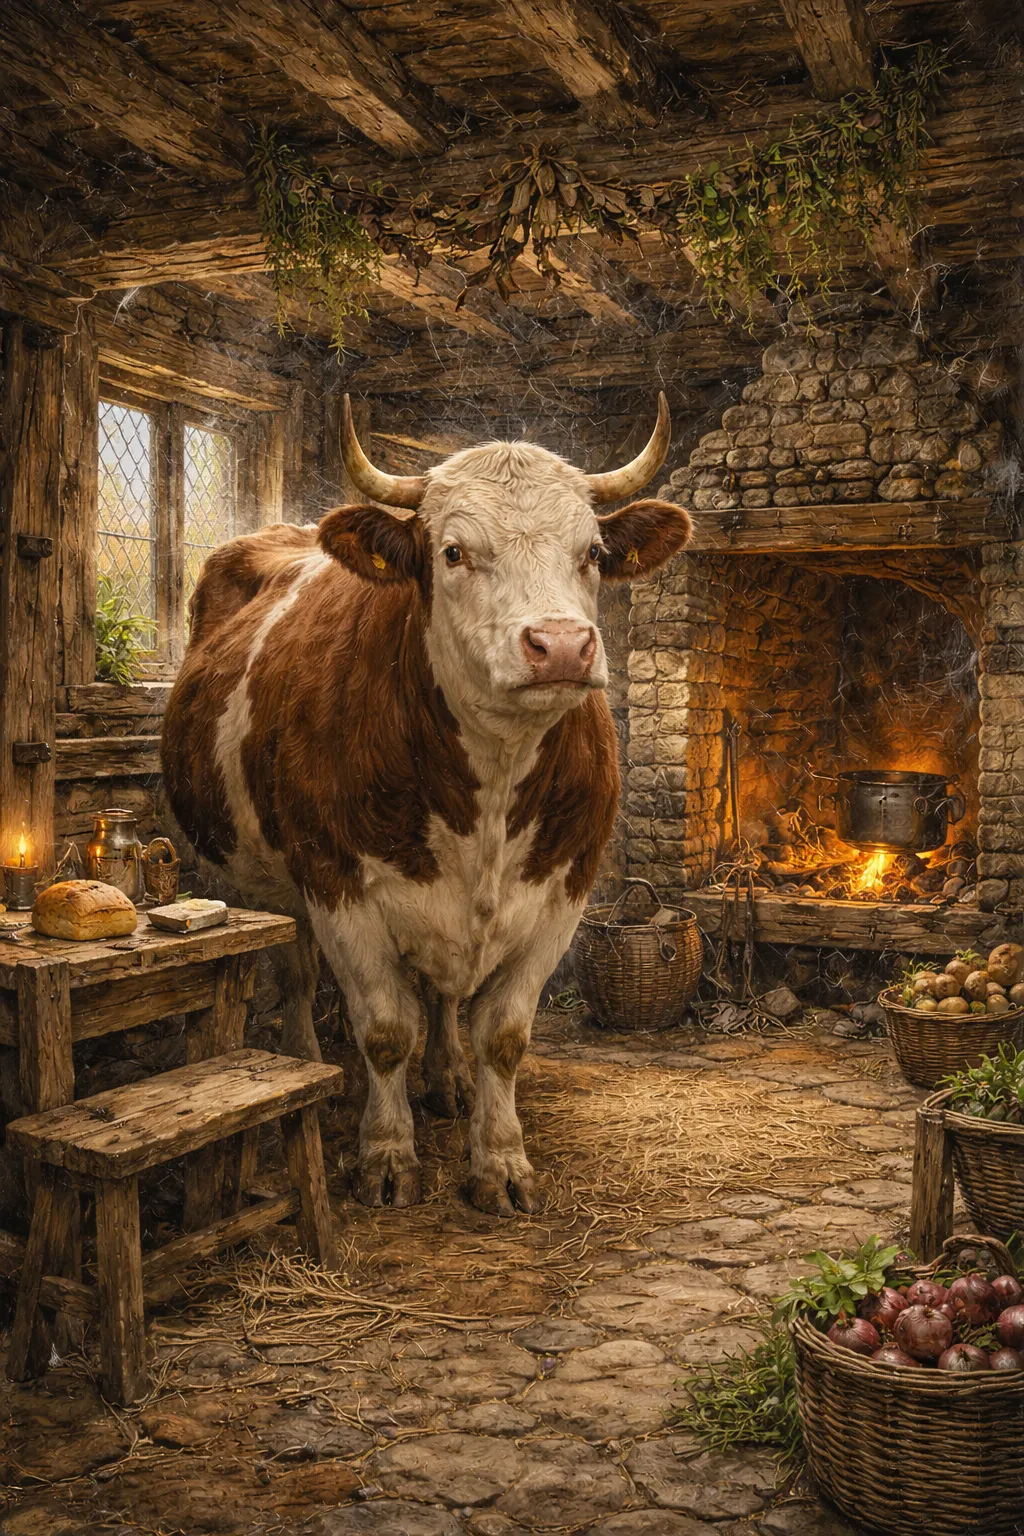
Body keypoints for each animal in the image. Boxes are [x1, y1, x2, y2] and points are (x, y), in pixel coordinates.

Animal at [161, 395, 691, 1215]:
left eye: (595, 552)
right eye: (452, 552)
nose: (561, 645)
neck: (490, 790)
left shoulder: (563, 891)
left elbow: (501, 1035)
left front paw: (499, 1160)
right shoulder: (338, 884)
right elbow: (383, 1030)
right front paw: (385, 1156)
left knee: (441, 998)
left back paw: (447, 1080)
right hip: (260, 878)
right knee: (297, 973)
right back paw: (311, 1065)